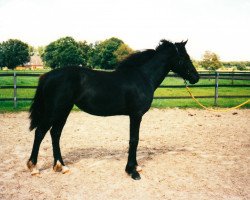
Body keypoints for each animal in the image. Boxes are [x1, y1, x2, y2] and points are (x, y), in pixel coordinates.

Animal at [26, 39, 199, 180]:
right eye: (185, 57)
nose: (196, 77)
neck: (142, 77)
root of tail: (47, 76)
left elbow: (135, 140)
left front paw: (136, 167)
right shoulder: (136, 115)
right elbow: (134, 140)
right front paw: (132, 171)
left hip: (63, 111)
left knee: (55, 134)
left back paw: (61, 166)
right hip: (54, 111)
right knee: (40, 133)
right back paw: (33, 167)